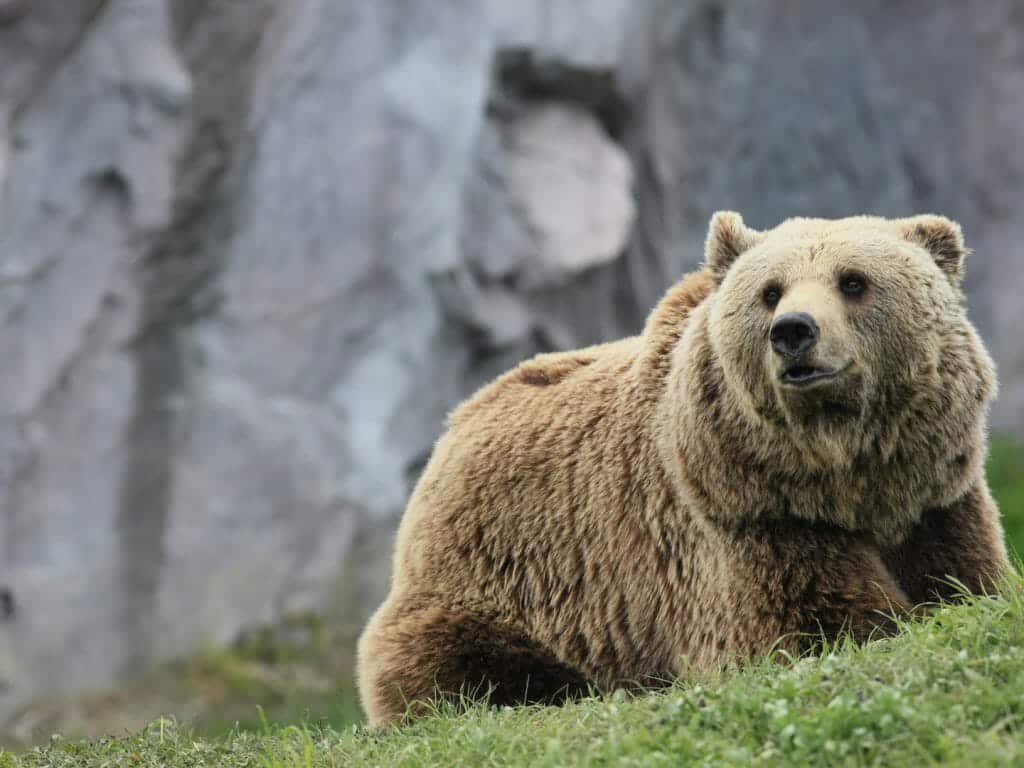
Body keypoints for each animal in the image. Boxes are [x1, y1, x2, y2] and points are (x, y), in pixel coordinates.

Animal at [356, 211, 1011, 726]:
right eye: (770, 291)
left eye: (853, 281)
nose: (793, 332)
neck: (845, 475)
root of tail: (455, 424)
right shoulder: (753, 518)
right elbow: (814, 624)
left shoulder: (935, 497)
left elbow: (967, 580)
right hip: (494, 577)